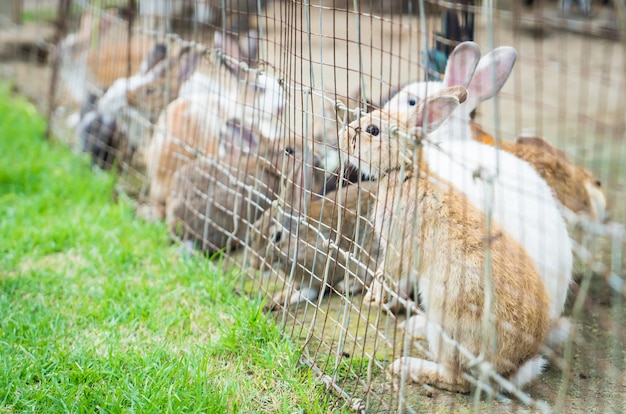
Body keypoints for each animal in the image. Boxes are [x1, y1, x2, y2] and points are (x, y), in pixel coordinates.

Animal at [249, 180, 380, 308]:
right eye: (254, 229)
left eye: (277, 236)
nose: (255, 265)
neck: (303, 238)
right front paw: (279, 296)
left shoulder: (319, 272)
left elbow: (309, 292)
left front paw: (288, 299)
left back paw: (347, 285)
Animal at [338, 86, 548, 392]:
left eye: (373, 130)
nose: (342, 137)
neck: (404, 172)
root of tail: (515, 367)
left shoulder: (399, 246)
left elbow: (388, 272)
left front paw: (373, 298)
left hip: (447, 321)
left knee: (458, 379)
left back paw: (408, 367)